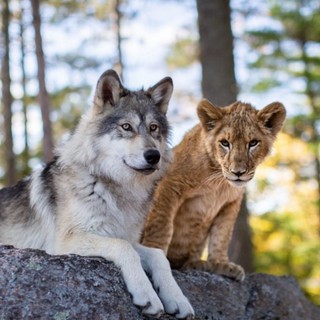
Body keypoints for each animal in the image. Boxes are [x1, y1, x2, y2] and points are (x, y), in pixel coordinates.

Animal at [0, 69, 195, 318]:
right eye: (126, 127)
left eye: (153, 128)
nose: (154, 156)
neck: (114, 187)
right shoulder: (66, 242)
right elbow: (124, 249)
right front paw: (148, 294)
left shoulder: (123, 235)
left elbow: (159, 256)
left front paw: (177, 298)